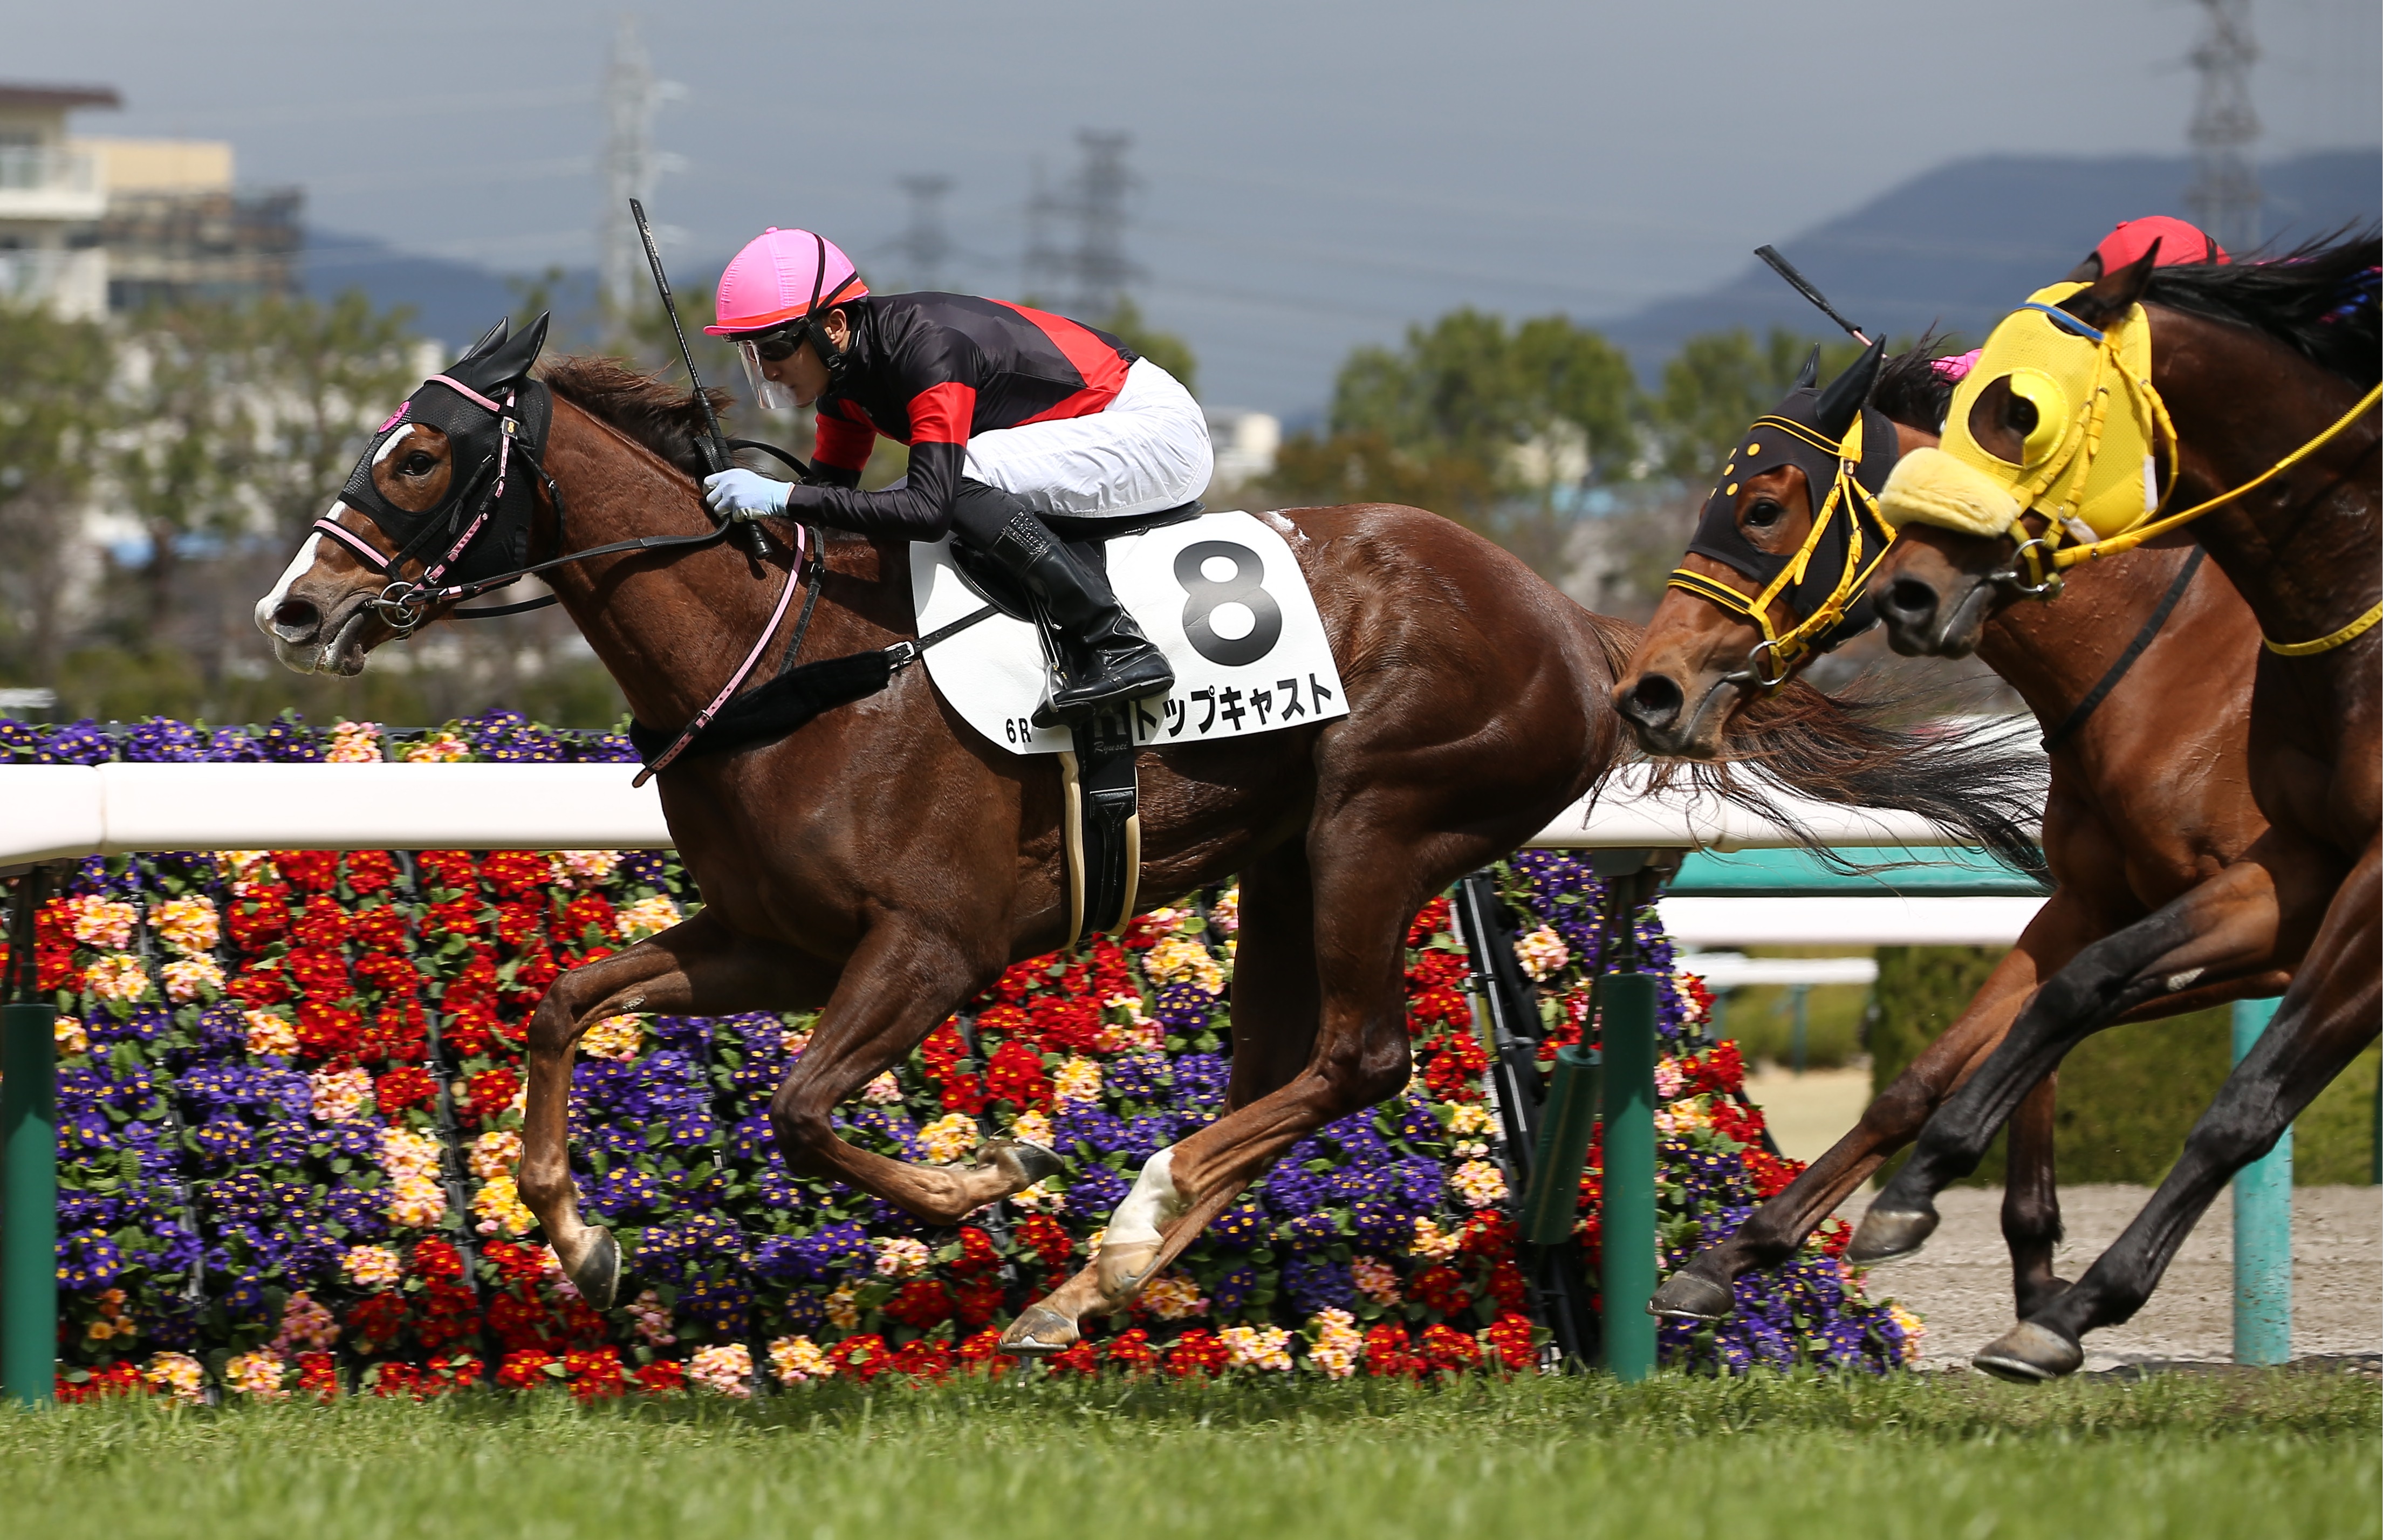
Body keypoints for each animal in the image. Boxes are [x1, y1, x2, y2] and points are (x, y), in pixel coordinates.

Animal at [252, 325, 2040, 1356]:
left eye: (417, 453)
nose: (294, 605)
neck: (795, 659)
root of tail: (1576, 621)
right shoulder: (773, 936)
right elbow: (569, 1002)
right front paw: (583, 1235)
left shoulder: (925, 947)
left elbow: (807, 1109)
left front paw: (983, 1174)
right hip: (1283, 860)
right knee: (1280, 1072)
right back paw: (1092, 1279)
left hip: (1377, 821)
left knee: (1358, 1058)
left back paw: (1103, 1238)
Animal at [1609, 342, 2288, 1332]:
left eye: (1761, 507)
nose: (1648, 692)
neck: (2176, 674)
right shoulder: (2090, 905)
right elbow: (1935, 1068)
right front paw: (1740, 1250)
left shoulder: (2269, 924)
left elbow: (2059, 1021)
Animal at [1854, 235, 2380, 1378]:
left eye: (2019, 410)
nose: (1906, 596)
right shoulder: (2294, 865)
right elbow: (2077, 985)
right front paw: (1914, 1193)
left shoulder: (2367, 889)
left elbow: (2246, 1101)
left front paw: (2069, 1307)